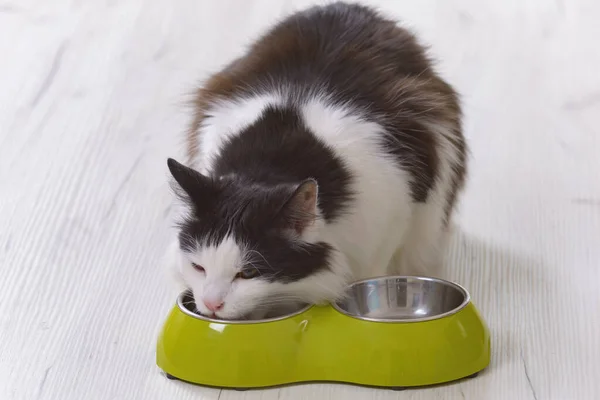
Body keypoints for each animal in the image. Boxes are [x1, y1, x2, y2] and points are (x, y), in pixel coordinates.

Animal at [165, 1, 468, 320]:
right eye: (199, 267)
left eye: (247, 273)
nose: (211, 304)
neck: (268, 165)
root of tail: (348, 7)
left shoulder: (393, 212)